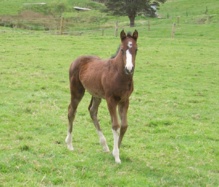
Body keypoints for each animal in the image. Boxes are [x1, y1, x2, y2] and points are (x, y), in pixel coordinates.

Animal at [64, 29, 139, 164]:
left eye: (136, 49)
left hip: (96, 95)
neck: (118, 74)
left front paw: (115, 151)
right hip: (77, 90)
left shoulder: (125, 100)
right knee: (71, 111)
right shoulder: (111, 100)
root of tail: (76, 59)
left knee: (92, 111)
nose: (129, 69)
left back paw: (104, 146)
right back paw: (69, 144)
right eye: (122, 49)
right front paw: (117, 156)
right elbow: (115, 125)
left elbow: (124, 125)